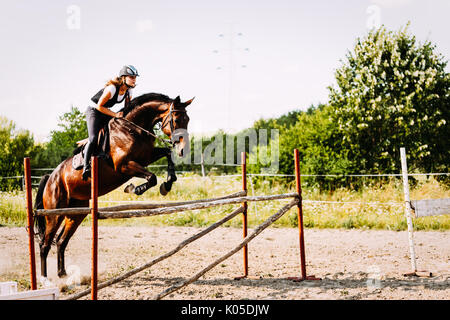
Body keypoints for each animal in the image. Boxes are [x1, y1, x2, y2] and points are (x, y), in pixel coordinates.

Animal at [33, 92, 192, 278]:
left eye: (187, 119)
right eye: (176, 119)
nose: (183, 150)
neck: (133, 129)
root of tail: (50, 177)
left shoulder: (146, 157)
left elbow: (166, 154)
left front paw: (168, 183)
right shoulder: (123, 166)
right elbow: (152, 177)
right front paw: (134, 188)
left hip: (76, 213)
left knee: (61, 241)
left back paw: (63, 275)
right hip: (54, 213)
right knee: (45, 244)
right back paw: (45, 279)